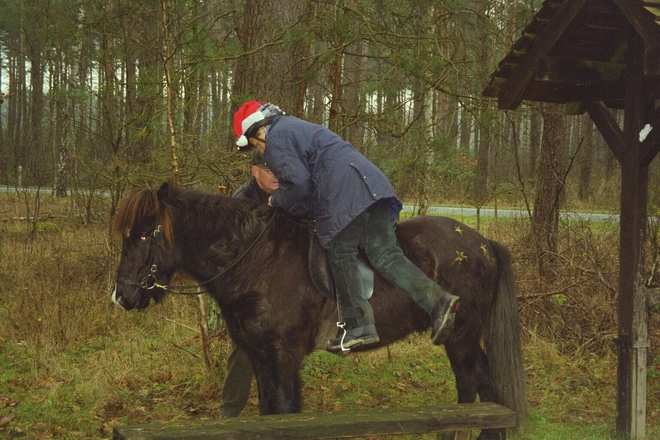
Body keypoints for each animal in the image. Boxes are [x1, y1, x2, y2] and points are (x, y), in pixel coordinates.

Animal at [112, 181, 524, 436]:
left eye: (145, 234)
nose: (121, 296)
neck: (257, 259)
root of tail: (483, 243)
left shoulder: (284, 355)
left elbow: (286, 412)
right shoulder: (260, 355)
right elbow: (268, 412)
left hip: (461, 338)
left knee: (473, 385)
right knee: (484, 385)